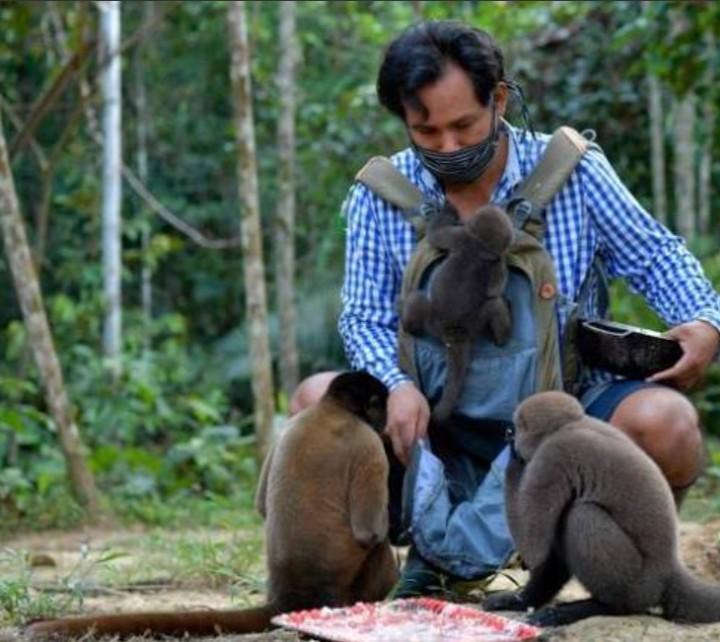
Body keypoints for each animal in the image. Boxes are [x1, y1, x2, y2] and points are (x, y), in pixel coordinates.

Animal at [26, 371, 398, 639]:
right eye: (381, 407)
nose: (387, 419)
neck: (331, 407)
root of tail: (292, 594)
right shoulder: (368, 442)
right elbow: (369, 532)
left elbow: (260, 505)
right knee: (378, 549)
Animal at [401, 202, 514, 423]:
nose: (494, 204)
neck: (480, 246)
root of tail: (453, 332)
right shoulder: (474, 245)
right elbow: (494, 289)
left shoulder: (462, 238)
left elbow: (436, 234)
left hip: (438, 319)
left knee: (417, 300)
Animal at [482, 390, 720, 627]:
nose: (511, 435)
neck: (572, 424)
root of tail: (669, 569)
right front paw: (521, 599)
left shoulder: (551, 457)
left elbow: (533, 544)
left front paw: (513, 451)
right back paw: (529, 599)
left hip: (639, 582)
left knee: (581, 515)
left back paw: (599, 607)